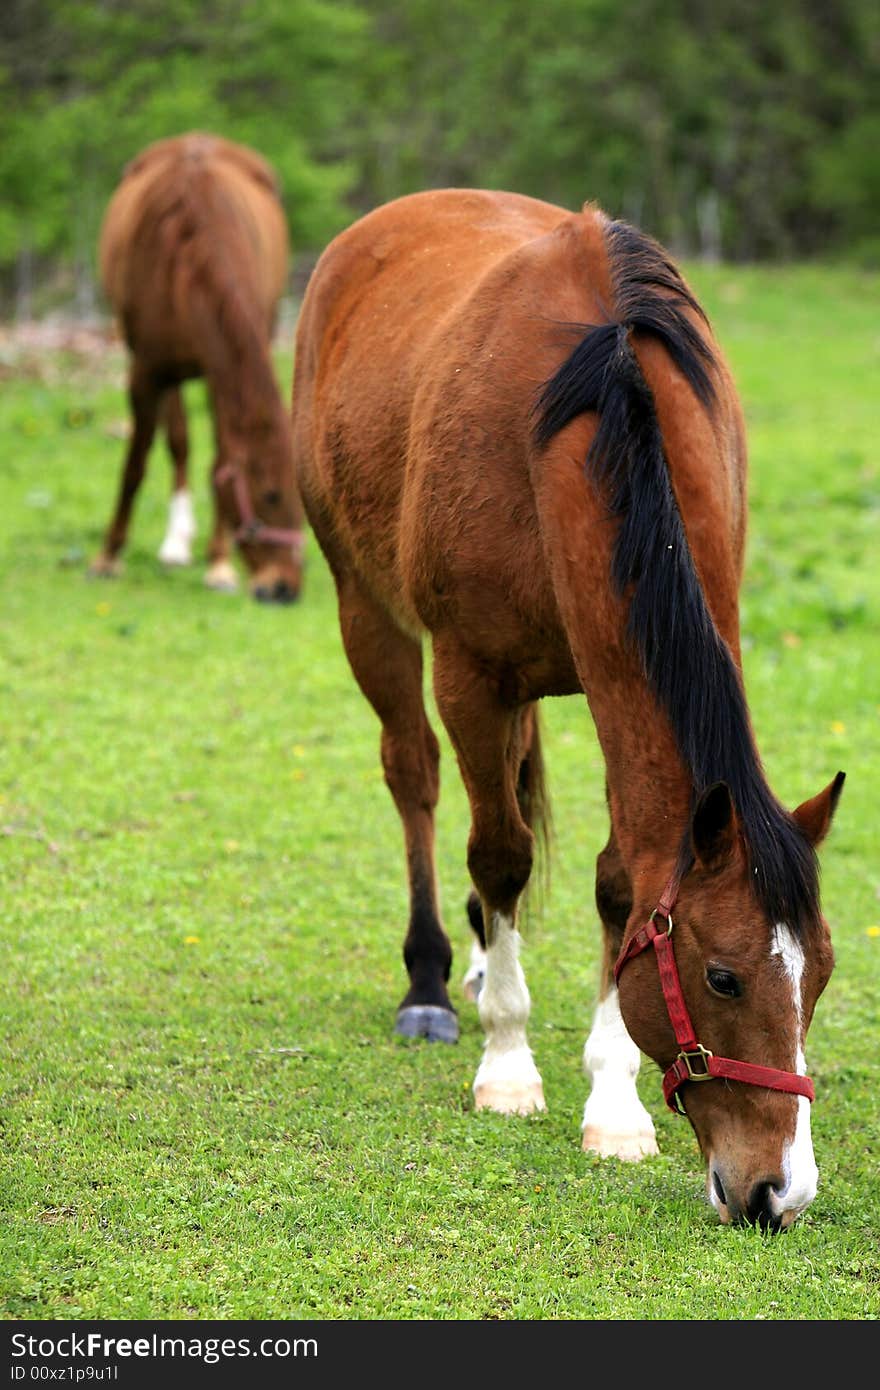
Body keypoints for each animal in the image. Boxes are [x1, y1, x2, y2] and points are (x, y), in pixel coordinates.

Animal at [91, 131, 305, 603]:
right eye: (270, 496)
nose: (284, 589)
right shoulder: (146, 373)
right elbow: (136, 464)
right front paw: (108, 556)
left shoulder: (219, 374)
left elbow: (221, 460)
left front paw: (219, 563)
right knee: (178, 441)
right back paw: (175, 541)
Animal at [293, 190, 845, 1234]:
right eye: (723, 977)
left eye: (823, 974)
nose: (777, 1192)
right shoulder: (472, 676)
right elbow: (501, 853)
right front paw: (508, 1066)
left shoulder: (611, 674)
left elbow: (621, 883)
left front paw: (614, 1100)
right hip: (365, 607)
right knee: (416, 777)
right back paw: (435, 978)